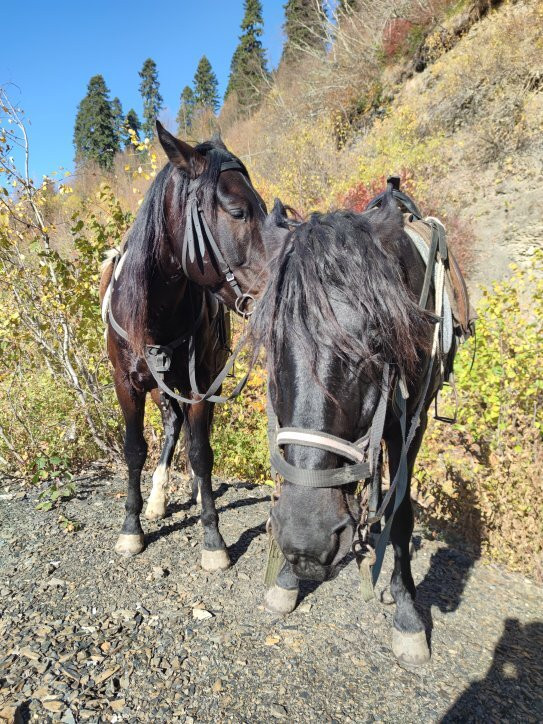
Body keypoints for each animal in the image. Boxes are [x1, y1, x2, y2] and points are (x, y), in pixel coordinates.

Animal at [101, 124, 268, 572]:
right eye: (238, 211)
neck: (156, 310)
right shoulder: (127, 384)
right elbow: (135, 450)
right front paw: (131, 527)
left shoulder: (201, 385)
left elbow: (201, 453)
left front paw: (213, 537)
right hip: (161, 386)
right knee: (172, 425)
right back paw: (158, 499)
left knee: (190, 434)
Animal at [253, 189, 470, 664]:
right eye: (271, 340)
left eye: (377, 341)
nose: (306, 542)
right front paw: (286, 581)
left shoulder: (410, 429)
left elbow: (402, 512)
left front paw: (408, 615)